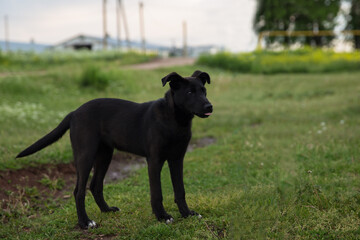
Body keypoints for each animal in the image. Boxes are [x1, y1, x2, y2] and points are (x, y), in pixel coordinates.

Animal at [16, 71, 212, 229]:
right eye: (189, 92)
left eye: (204, 91)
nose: (209, 106)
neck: (175, 120)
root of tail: (74, 113)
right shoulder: (154, 160)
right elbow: (157, 193)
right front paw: (162, 217)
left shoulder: (177, 158)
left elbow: (180, 190)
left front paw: (187, 214)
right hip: (85, 155)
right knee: (79, 191)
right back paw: (85, 222)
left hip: (104, 155)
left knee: (95, 185)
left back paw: (106, 210)